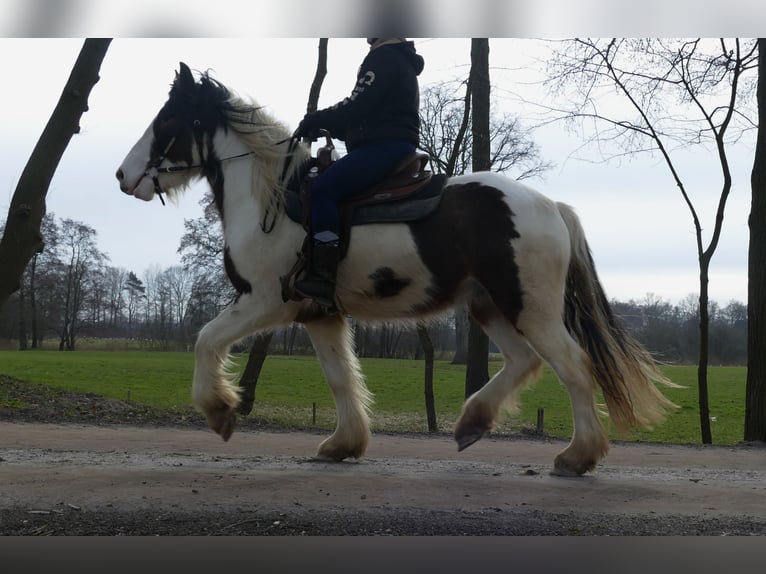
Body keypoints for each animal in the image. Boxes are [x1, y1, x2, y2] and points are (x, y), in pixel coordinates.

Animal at [116, 63, 678, 476]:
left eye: (166, 120)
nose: (122, 176)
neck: (272, 200)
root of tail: (551, 206)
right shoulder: (319, 314)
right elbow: (341, 378)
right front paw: (343, 444)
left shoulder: (265, 301)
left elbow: (205, 340)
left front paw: (219, 410)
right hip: (488, 305)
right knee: (524, 362)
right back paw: (472, 423)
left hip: (529, 307)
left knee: (573, 366)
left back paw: (577, 456)